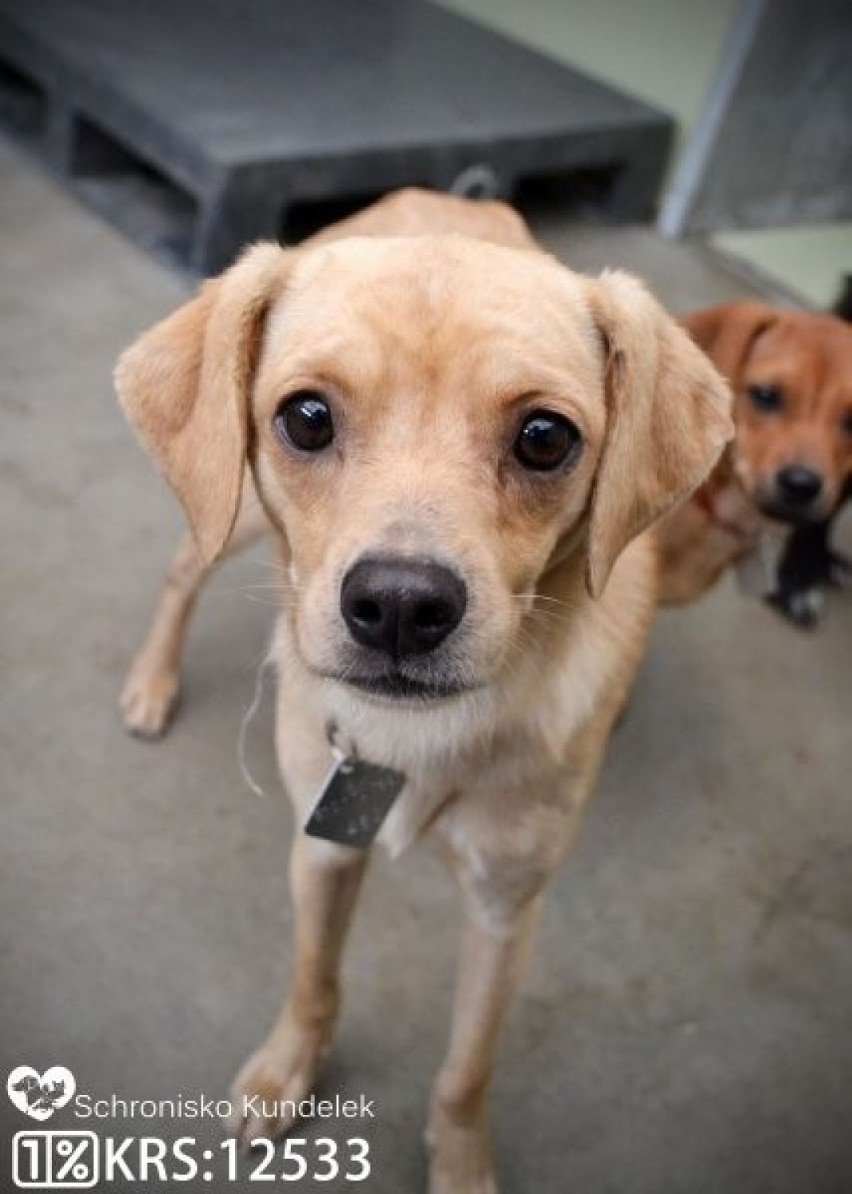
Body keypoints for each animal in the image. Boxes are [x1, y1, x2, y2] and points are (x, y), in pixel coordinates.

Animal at [114, 191, 730, 1189]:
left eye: (546, 438)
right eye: (307, 417)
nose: (400, 606)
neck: (416, 744)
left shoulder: (506, 913)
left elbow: (465, 1068)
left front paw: (460, 1161)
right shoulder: (321, 851)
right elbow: (314, 981)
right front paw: (289, 1070)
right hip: (227, 517)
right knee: (182, 573)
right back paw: (151, 682)